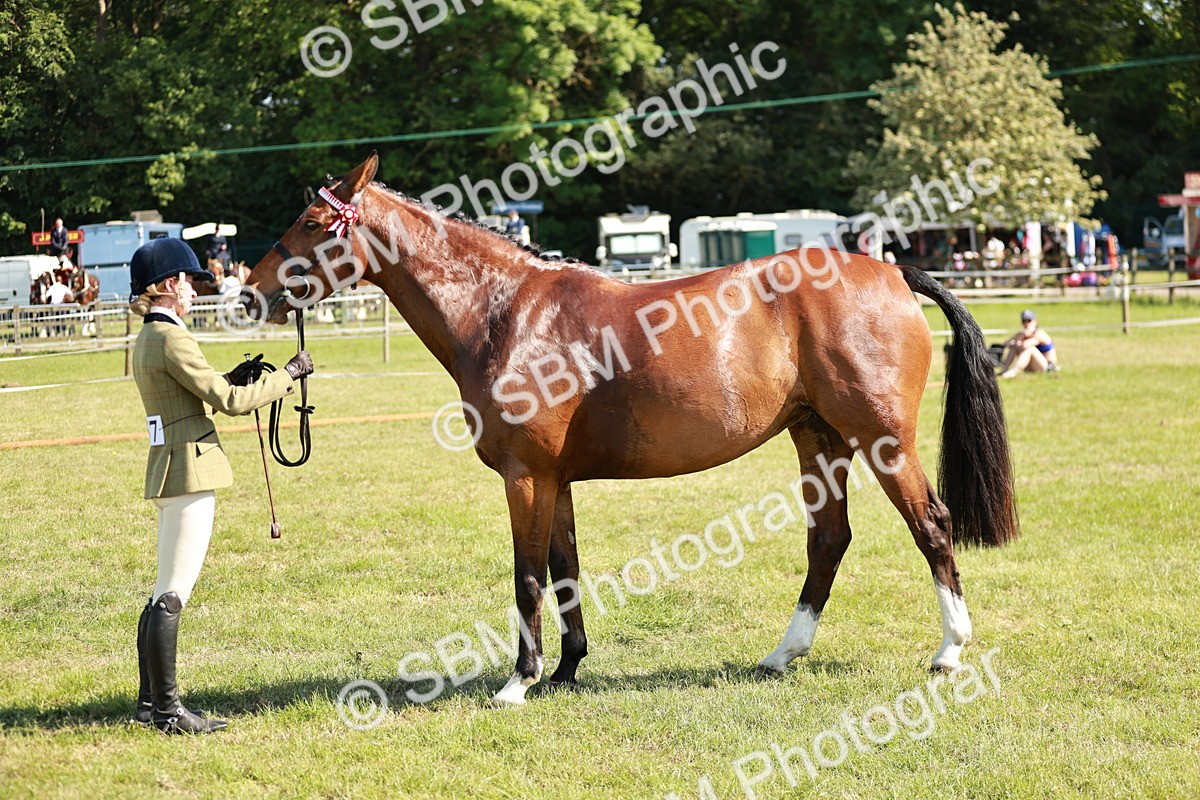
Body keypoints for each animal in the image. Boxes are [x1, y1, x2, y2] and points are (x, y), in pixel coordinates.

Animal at [243, 154, 1018, 706]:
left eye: (311, 221)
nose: (250, 292)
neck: (503, 311)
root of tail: (893, 272)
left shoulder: (526, 478)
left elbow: (528, 576)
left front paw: (518, 681)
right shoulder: (555, 481)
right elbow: (565, 572)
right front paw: (565, 671)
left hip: (883, 441)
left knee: (932, 525)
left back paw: (950, 651)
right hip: (817, 439)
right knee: (828, 540)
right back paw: (781, 655)